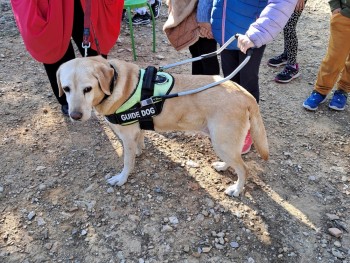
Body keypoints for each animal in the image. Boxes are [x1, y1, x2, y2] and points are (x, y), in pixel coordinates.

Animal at [57, 56, 270, 196]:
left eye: (88, 89)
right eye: (66, 89)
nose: (75, 116)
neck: (115, 83)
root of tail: (244, 93)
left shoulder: (126, 137)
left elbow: (127, 162)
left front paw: (122, 178)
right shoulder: (136, 130)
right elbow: (139, 143)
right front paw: (139, 151)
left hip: (222, 141)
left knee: (244, 169)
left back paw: (237, 189)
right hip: (222, 142)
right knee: (235, 159)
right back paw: (223, 165)